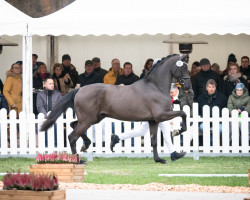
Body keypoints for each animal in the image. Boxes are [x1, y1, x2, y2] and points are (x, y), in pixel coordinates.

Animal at [40, 53, 191, 164]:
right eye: (183, 68)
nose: (188, 87)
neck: (155, 86)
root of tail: (79, 90)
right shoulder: (162, 115)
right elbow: (183, 113)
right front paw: (178, 131)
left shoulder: (153, 120)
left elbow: (154, 141)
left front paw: (160, 159)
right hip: (88, 120)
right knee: (72, 137)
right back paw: (79, 160)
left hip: (93, 119)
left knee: (72, 125)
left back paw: (87, 144)